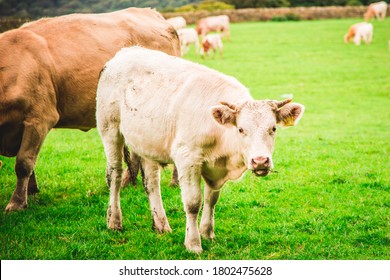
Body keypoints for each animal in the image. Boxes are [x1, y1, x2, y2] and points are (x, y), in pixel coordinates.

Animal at [0, 7, 181, 211]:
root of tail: (153, 14)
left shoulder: (39, 118)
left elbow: (24, 163)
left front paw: (17, 203)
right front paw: (31, 191)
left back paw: (174, 181)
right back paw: (126, 182)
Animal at [96, 46, 304, 254]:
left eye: (273, 128)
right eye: (241, 129)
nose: (260, 161)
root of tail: (126, 52)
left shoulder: (216, 169)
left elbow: (211, 200)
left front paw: (207, 232)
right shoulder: (187, 160)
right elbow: (193, 203)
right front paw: (193, 243)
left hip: (146, 143)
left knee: (151, 182)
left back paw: (161, 225)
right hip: (110, 130)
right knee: (114, 174)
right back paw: (114, 221)